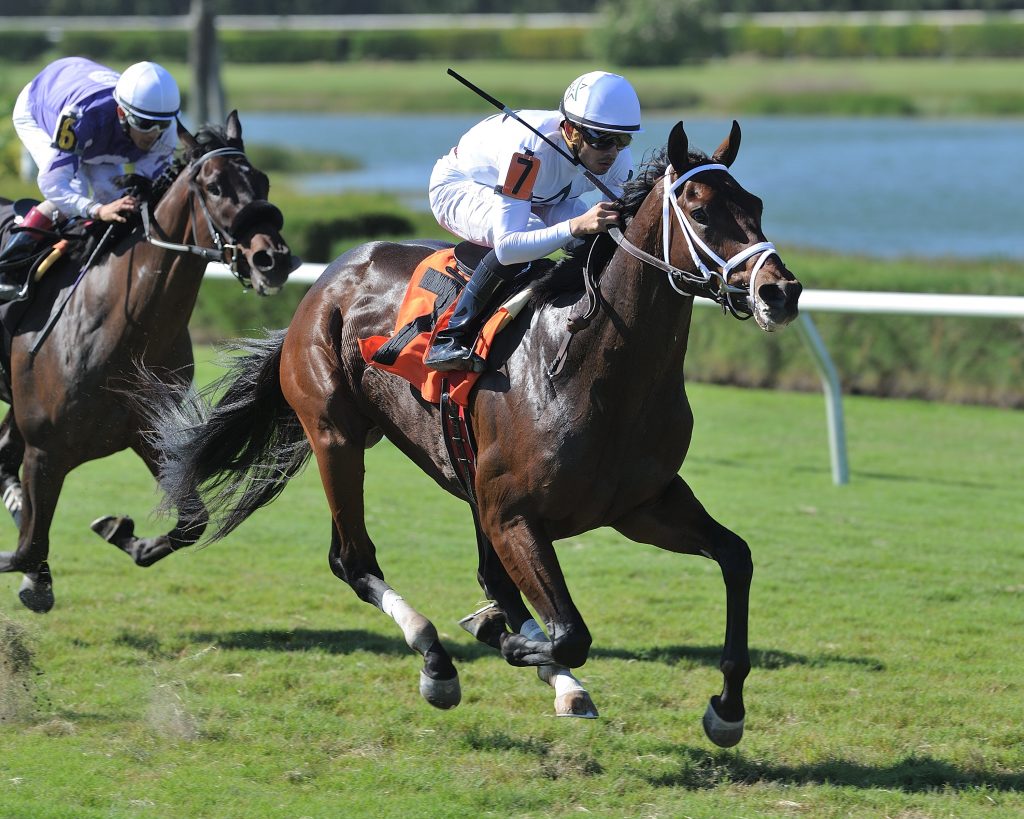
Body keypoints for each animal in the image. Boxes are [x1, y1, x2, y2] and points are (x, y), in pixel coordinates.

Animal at [1, 112, 296, 614]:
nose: (271, 259)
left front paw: (123, 533)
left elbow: (193, 522)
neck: (120, 328)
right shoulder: (45, 451)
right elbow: (28, 547)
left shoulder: (150, 434)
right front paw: (35, 579)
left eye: (262, 181)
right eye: (214, 187)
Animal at [146, 123, 798, 749]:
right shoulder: (514, 515)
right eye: (700, 209)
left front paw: (727, 710)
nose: (781, 291)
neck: (590, 366)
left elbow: (735, 558)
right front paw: (512, 645)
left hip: (464, 475)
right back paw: (437, 660)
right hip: (336, 435)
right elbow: (571, 633)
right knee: (352, 559)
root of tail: (326, 281)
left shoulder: (641, 505)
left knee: (489, 578)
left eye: (756, 204)